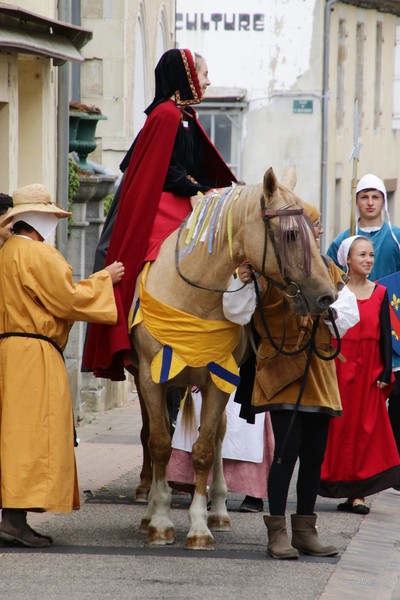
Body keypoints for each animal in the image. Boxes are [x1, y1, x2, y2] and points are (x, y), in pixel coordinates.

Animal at [127, 166, 334, 552]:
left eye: (316, 233)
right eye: (292, 234)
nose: (327, 297)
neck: (192, 297)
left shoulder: (220, 381)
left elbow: (205, 449)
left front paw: (198, 527)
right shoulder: (150, 378)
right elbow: (160, 443)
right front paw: (160, 521)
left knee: (220, 436)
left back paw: (219, 510)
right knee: (154, 436)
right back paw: (149, 511)